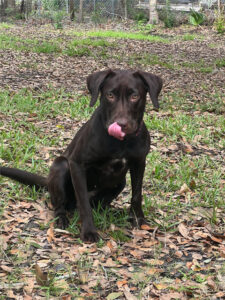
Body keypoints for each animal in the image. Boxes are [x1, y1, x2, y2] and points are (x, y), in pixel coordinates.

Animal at [0, 69, 162, 243]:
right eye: (110, 95)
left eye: (135, 96)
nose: (121, 124)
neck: (121, 143)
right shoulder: (77, 164)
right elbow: (83, 202)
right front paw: (89, 231)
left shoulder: (139, 163)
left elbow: (136, 195)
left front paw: (138, 220)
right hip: (61, 166)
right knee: (60, 204)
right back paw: (62, 218)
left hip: (120, 182)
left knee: (100, 202)